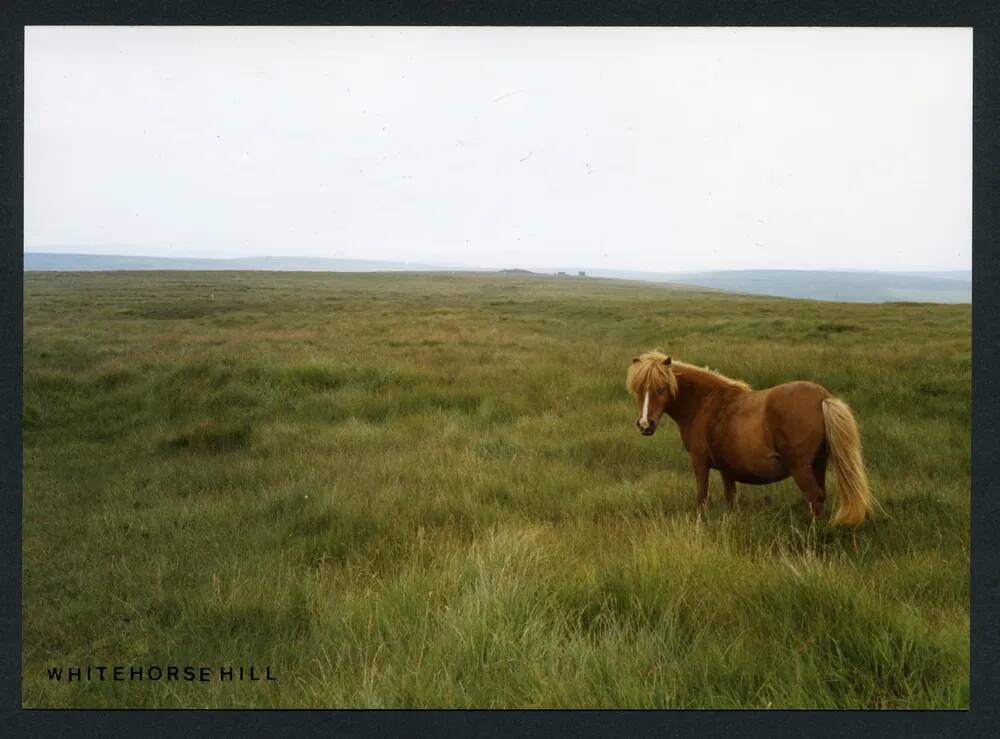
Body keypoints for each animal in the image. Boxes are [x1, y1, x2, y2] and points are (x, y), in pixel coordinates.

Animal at [628, 352, 872, 528]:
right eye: (639, 390)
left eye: (661, 388)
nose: (645, 424)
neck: (705, 403)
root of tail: (823, 398)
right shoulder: (727, 468)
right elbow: (731, 497)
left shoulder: (699, 461)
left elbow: (702, 496)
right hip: (818, 463)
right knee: (820, 497)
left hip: (800, 467)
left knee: (814, 496)